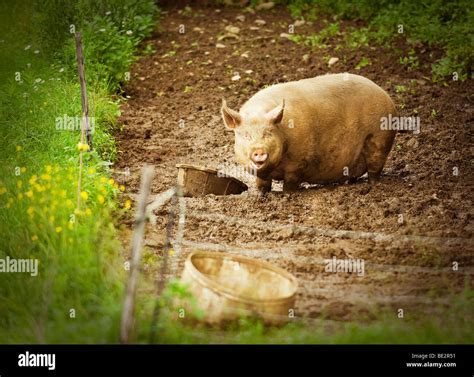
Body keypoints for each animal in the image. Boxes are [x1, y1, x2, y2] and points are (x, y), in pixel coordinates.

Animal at [221, 72, 396, 192]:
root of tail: (387, 97)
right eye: (246, 135)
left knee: (375, 170)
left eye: (268, 133)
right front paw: (261, 194)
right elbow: (262, 185)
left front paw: (286, 195)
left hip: (379, 139)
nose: (259, 151)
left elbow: (290, 185)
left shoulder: (298, 163)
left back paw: (372, 187)